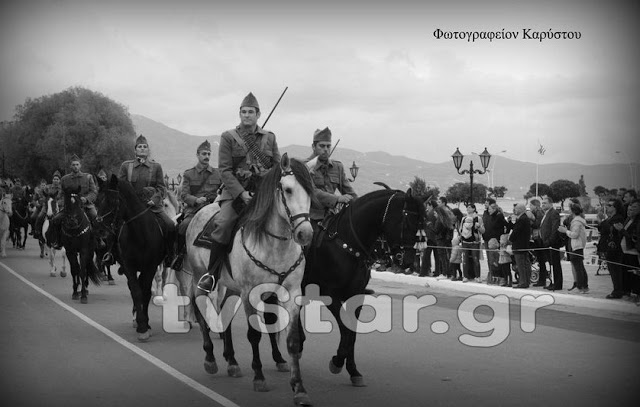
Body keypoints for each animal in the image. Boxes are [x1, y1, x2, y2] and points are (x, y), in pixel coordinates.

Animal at [94, 175, 170, 342]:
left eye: (112, 201)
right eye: (96, 201)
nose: (99, 230)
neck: (139, 233)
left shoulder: (150, 267)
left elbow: (146, 292)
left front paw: (146, 325)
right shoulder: (129, 267)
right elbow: (136, 292)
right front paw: (141, 325)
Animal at [302, 188, 422, 386]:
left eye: (421, 222)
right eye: (405, 220)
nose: (408, 260)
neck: (348, 244)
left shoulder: (357, 296)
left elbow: (352, 334)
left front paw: (353, 370)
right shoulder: (329, 295)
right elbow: (345, 329)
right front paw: (337, 362)